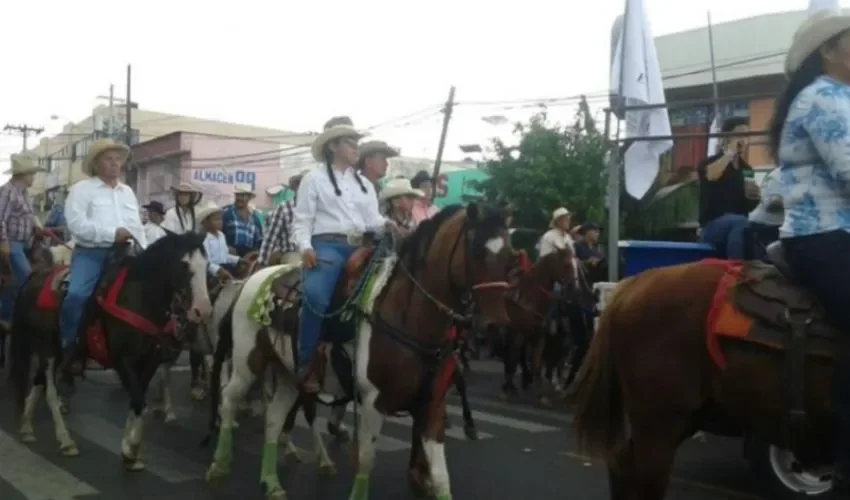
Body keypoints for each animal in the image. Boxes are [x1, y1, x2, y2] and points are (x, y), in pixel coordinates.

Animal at [8, 231, 212, 468]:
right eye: (183, 265)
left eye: (206, 264)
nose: (202, 310)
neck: (138, 299)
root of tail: (35, 277)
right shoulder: (122, 360)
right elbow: (138, 401)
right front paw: (132, 449)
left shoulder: (149, 361)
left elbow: (137, 399)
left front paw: (129, 448)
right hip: (48, 348)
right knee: (49, 390)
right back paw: (65, 440)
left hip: (53, 351)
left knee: (38, 381)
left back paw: (26, 426)